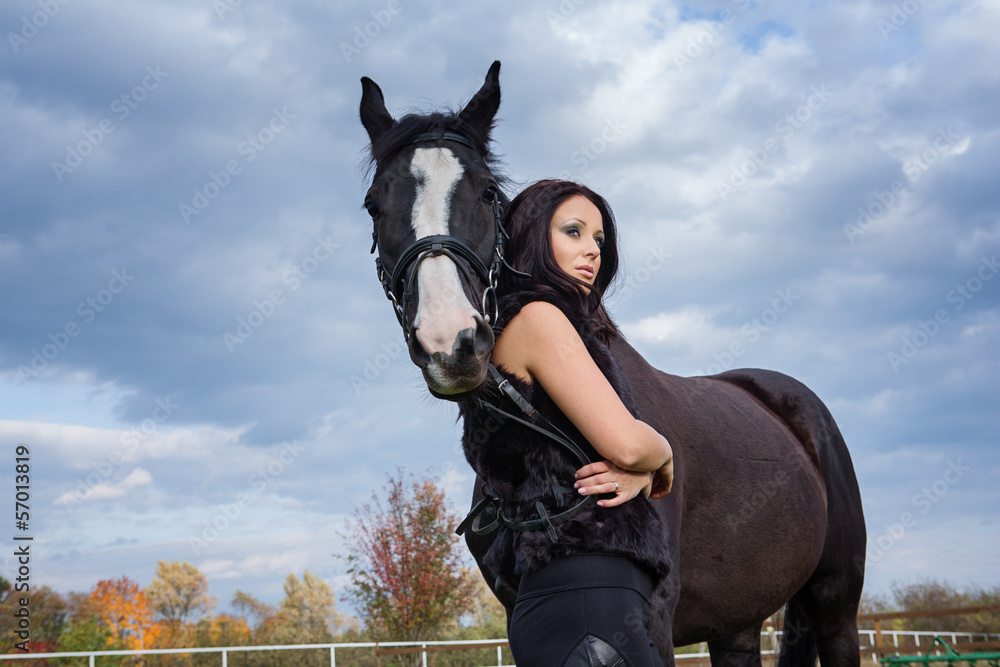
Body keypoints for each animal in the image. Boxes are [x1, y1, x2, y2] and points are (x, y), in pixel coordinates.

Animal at [359, 61, 867, 667]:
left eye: (488, 192)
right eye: (374, 205)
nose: (449, 341)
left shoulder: (655, 618)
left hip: (835, 604)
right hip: (739, 624)